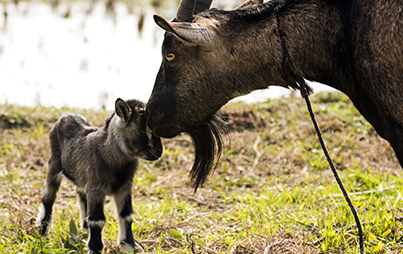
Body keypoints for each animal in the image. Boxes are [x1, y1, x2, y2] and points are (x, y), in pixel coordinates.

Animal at [37, 98, 163, 253]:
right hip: (54, 165)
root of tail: (65, 116)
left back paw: (85, 228)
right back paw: (43, 231)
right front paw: (95, 248)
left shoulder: (124, 187)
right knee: (48, 196)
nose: (159, 152)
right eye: (141, 130)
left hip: (82, 178)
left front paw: (129, 246)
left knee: (81, 194)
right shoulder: (96, 188)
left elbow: (126, 216)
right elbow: (97, 220)